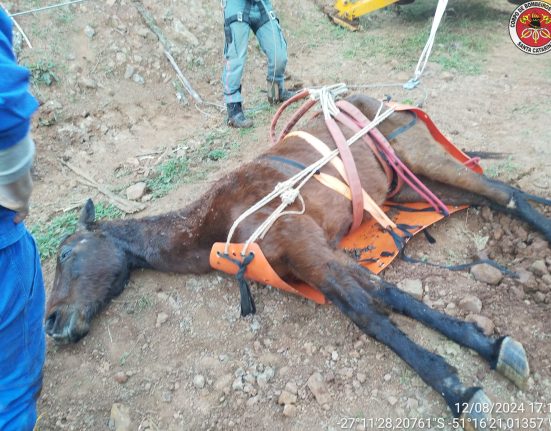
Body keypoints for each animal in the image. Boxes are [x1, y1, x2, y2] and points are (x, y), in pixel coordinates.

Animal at [48, 93, 551, 428]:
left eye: (65, 254)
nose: (52, 322)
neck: (216, 224)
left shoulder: (306, 247)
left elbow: (370, 315)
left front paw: (457, 388)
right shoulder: (313, 257)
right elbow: (385, 296)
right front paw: (484, 348)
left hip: (420, 156)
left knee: (503, 194)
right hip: (409, 185)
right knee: (496, 196)